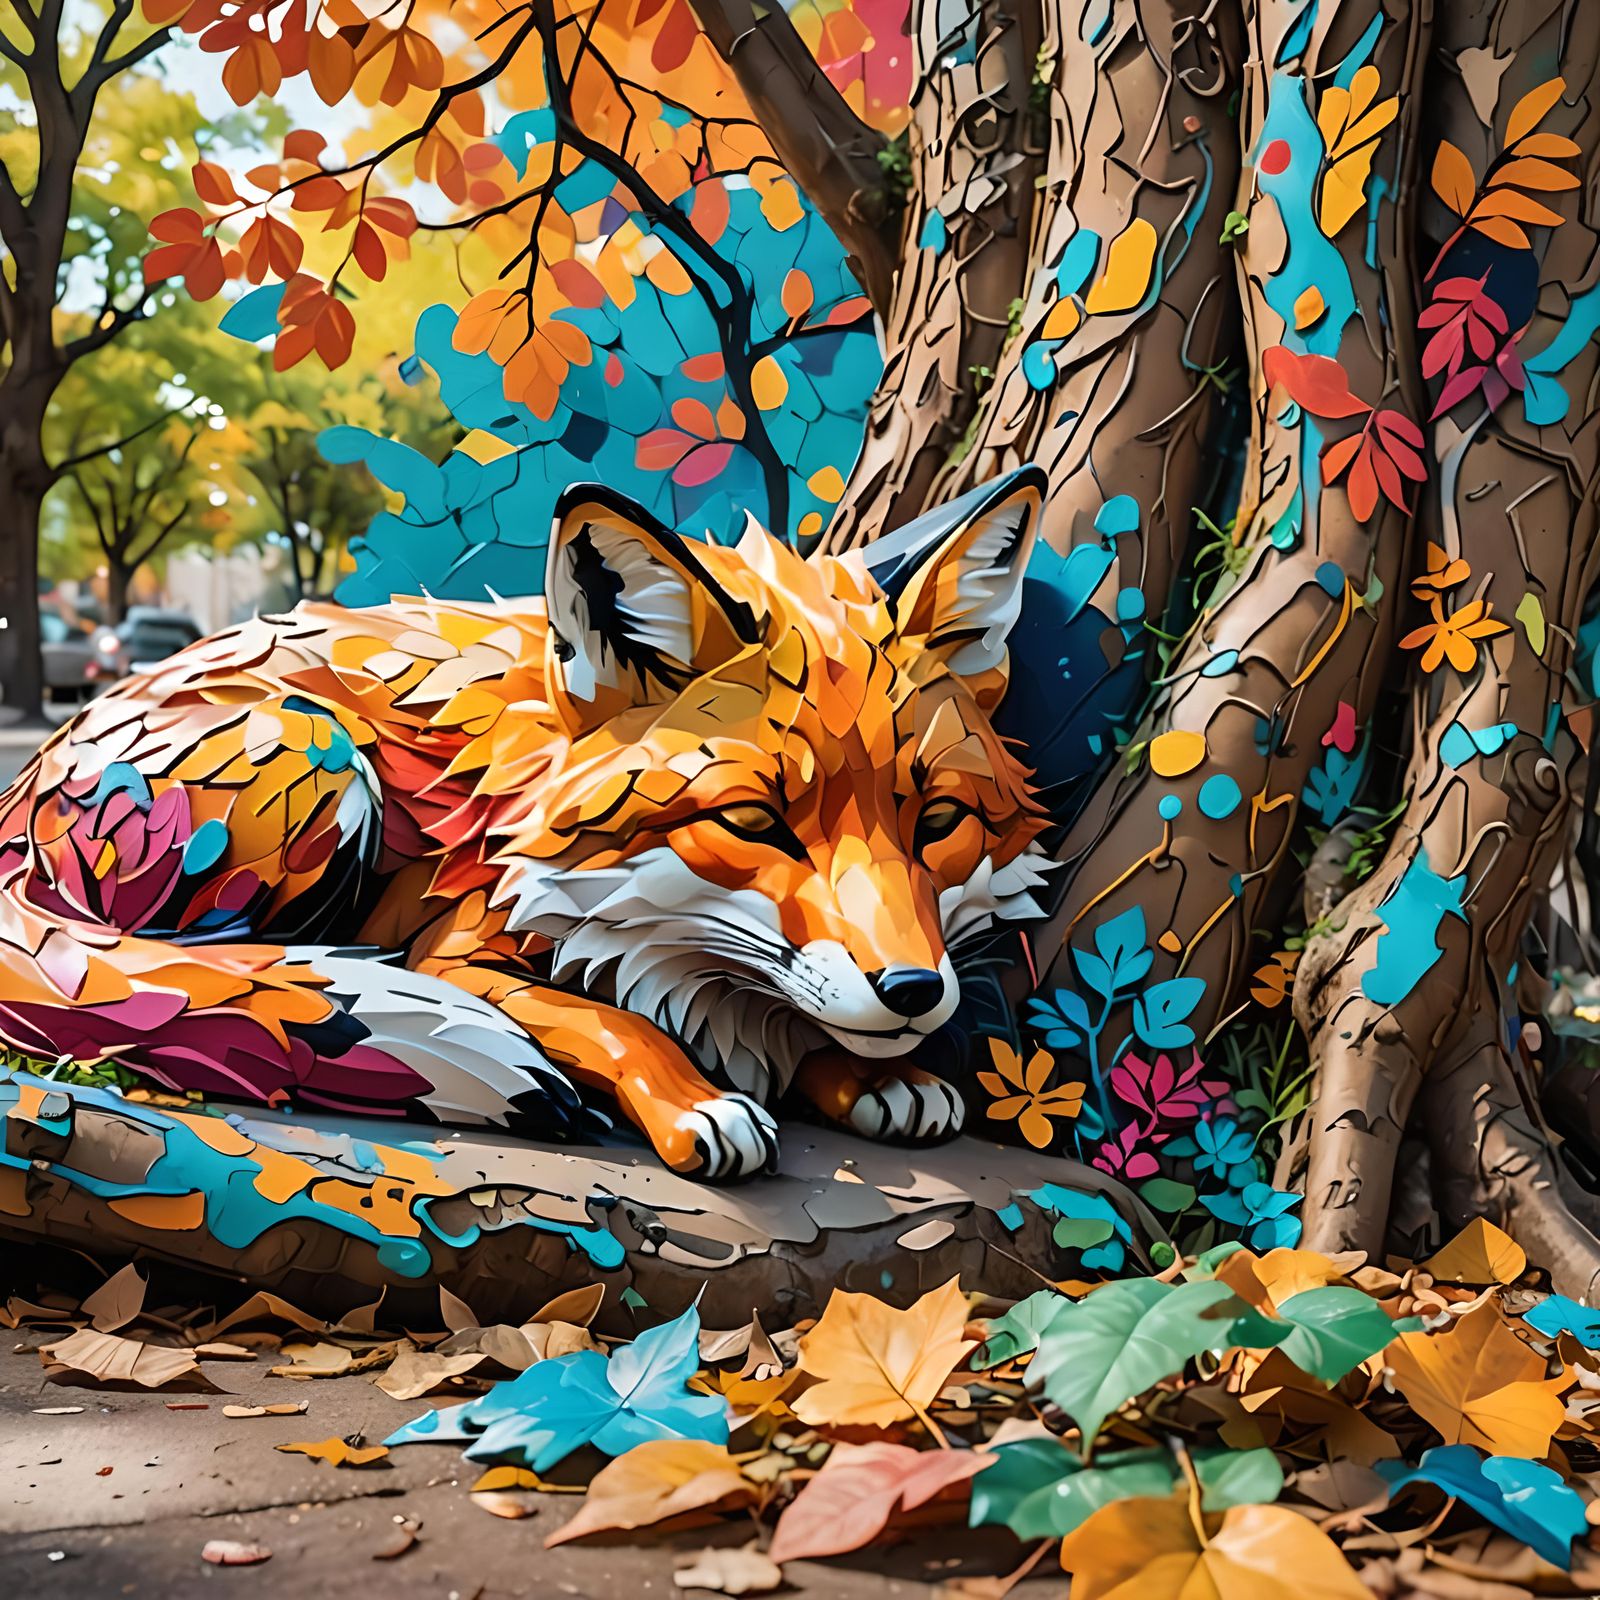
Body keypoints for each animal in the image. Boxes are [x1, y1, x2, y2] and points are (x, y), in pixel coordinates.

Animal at [0, 468, 1052, 1178]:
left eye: (941, 820)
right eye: (755, 822)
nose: (913, 990)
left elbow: (783, 1025)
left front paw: (867, 1077)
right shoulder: (453, 951)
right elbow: (615, 1020)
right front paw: (699, 1099)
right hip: (319, 763)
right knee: (179, 968)